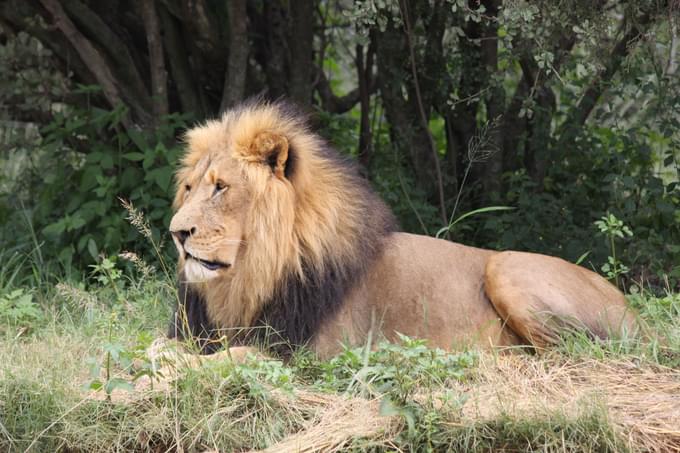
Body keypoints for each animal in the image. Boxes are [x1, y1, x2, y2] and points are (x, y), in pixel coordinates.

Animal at [166, 100, 636, 360]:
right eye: (189, 188)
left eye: (221, 188)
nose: (176, 232)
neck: (249, 275)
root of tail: (632, 310)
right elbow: (161, 349)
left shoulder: (295, 352)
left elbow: (217, 361)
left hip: (507, 269)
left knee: (573, 354)